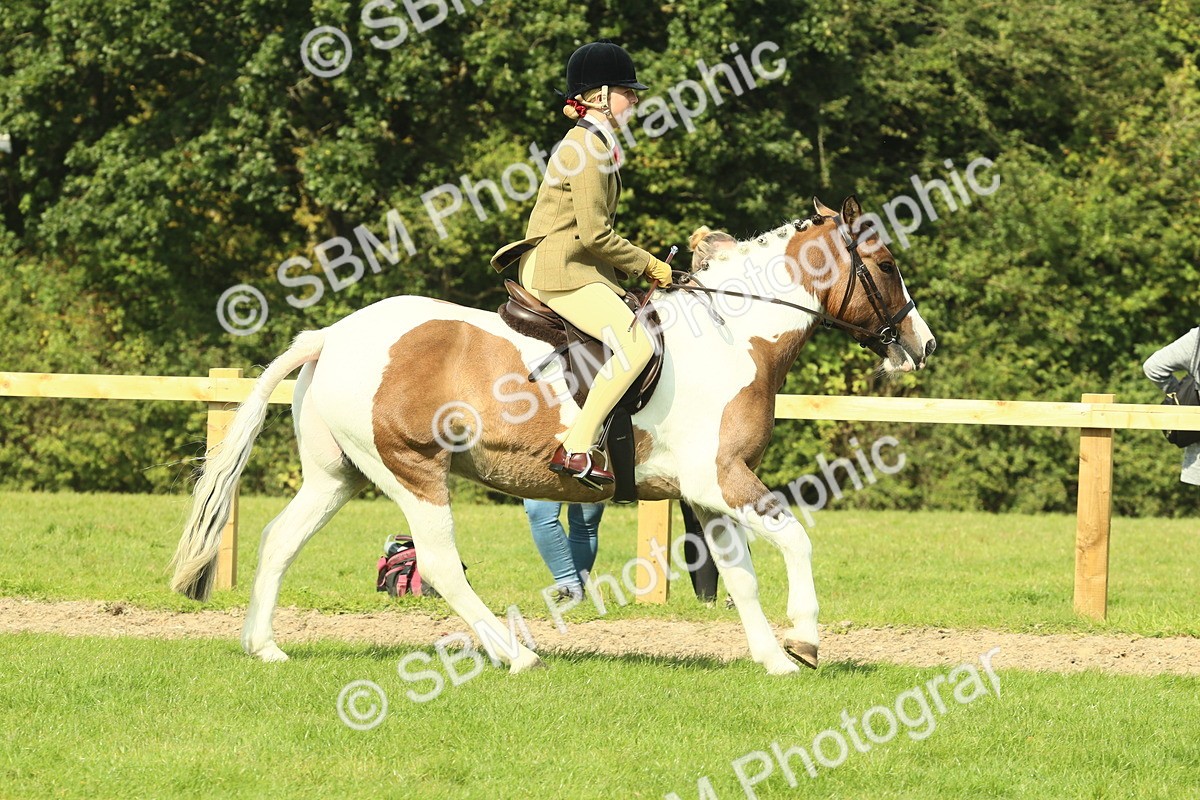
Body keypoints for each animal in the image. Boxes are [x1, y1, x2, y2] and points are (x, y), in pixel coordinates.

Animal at [170, 196, 936, 676]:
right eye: (887, 265)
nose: (921, 345)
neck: (733, 335)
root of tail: (331, 335)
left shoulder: (708, 492)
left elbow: (742, 577)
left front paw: (775, 660)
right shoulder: (721, 479)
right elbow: (796, 540)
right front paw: (805, 640)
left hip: (340, 475)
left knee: (279, 540)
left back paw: (265, 647)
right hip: (414, 472)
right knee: (440, 565)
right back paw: (516, 655)